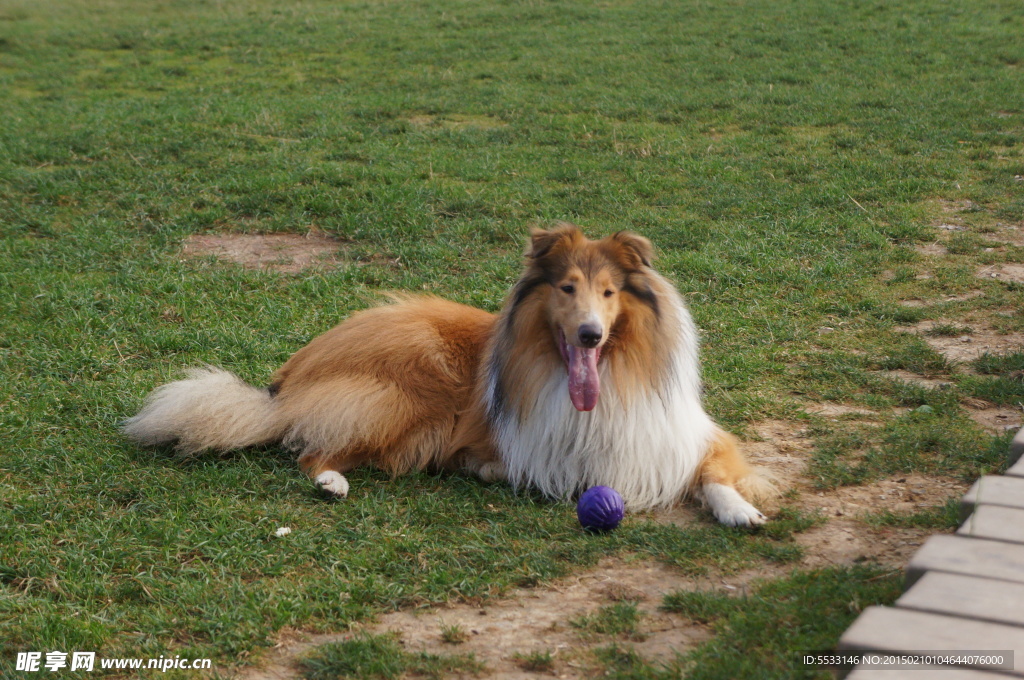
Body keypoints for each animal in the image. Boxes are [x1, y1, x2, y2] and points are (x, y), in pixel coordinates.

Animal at [123, 223, 770, 524]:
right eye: (566, 288)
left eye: (609, 292)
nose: (589, 334)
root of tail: (289, 377)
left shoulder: (683, 435)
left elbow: (714, 471)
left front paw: (740, 510)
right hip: (408, 397)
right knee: (311, 449)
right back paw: (333, 481)